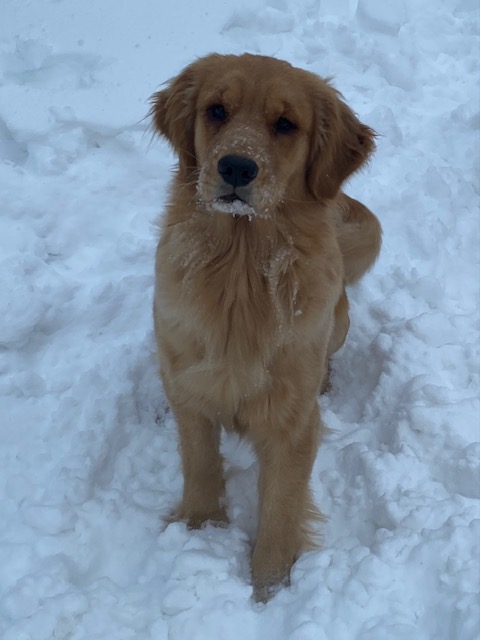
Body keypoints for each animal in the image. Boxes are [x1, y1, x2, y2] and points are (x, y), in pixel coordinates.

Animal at [151, 53, 382, 600]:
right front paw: (199, 531)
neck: (240, 273)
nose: (237, 166)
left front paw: (268, 593)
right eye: (216, 110)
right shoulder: (192, 391)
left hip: (338, 322)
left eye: (285, 124)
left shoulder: (292, 421)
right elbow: (199, 465)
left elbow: (280, 511)